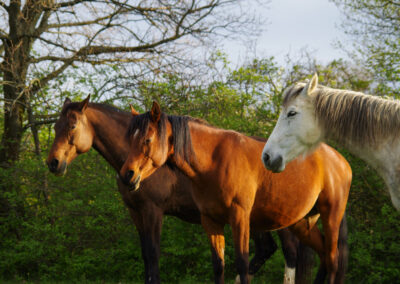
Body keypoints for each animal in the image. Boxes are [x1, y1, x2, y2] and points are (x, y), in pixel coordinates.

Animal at [120, 102, 352, 284]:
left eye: (147, 140)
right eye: (129, 140)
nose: (127, 175)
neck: (214, 161)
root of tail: (340, 161)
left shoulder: (240, 217)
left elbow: (242, 264)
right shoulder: (211, 221)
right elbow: (218, 265)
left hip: (331, 216)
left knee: (333, 260)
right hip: (303, 223)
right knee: (324, 255)